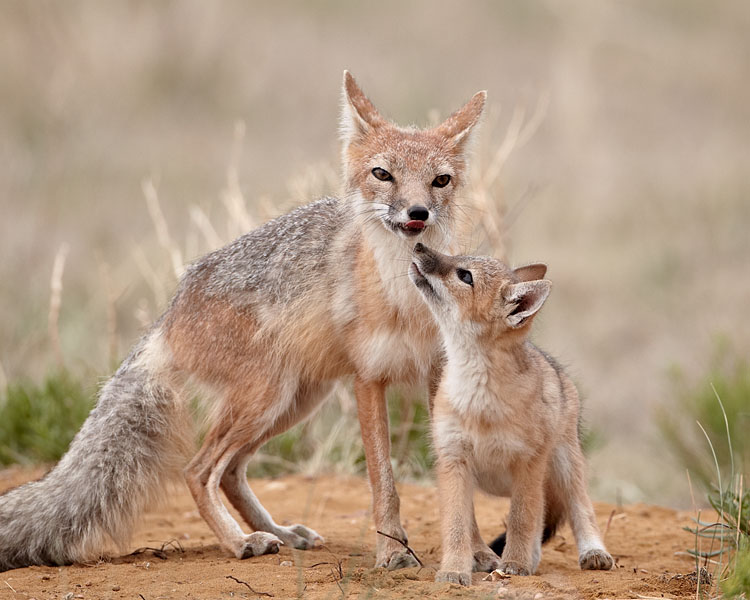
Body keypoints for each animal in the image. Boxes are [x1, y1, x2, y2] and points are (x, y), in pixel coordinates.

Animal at [0, 73, 487, 572]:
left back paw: (279, 534)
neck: (407, 301)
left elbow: (457, 484)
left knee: (231, 472)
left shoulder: (438, 377)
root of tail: (171, 310)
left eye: (440, 181)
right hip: (265, 398)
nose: (417, 212)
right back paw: (239, 543)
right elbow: (383, 480)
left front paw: (478, 552)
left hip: (293, 401)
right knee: (198, 471)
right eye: (382, 174)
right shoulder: (369, 379)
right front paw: (392, 551)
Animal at [408, 243, 614, 586]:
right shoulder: (453, 460)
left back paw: (592, 551)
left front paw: (515, 563)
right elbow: (457, 526)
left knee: (579, 509)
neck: (479, 396)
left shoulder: (528, 463)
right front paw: (454, 570)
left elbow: (521, 519)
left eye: (465, 276)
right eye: (457, 256)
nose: (420, 246)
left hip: (563, 466)